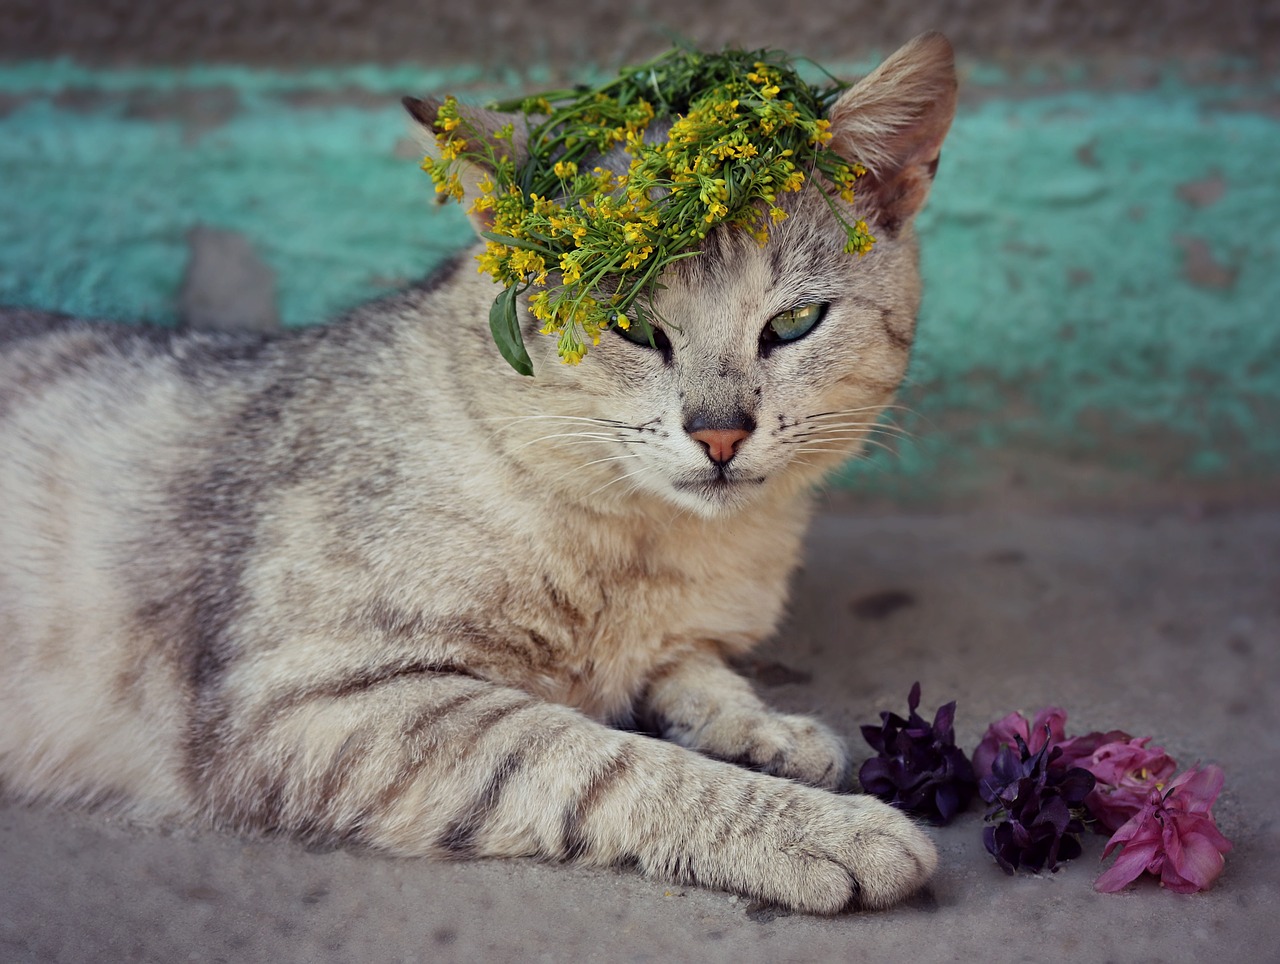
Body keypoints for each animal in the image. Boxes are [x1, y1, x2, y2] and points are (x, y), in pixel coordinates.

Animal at [0, 33, 957, 911]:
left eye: (794, 322)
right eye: (631, 326)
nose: (719, 436)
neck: (649, 541)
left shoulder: (671, 640)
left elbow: (697, 678)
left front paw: (765, 729)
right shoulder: (309, 706)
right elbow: (599, 759)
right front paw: (817, 828)